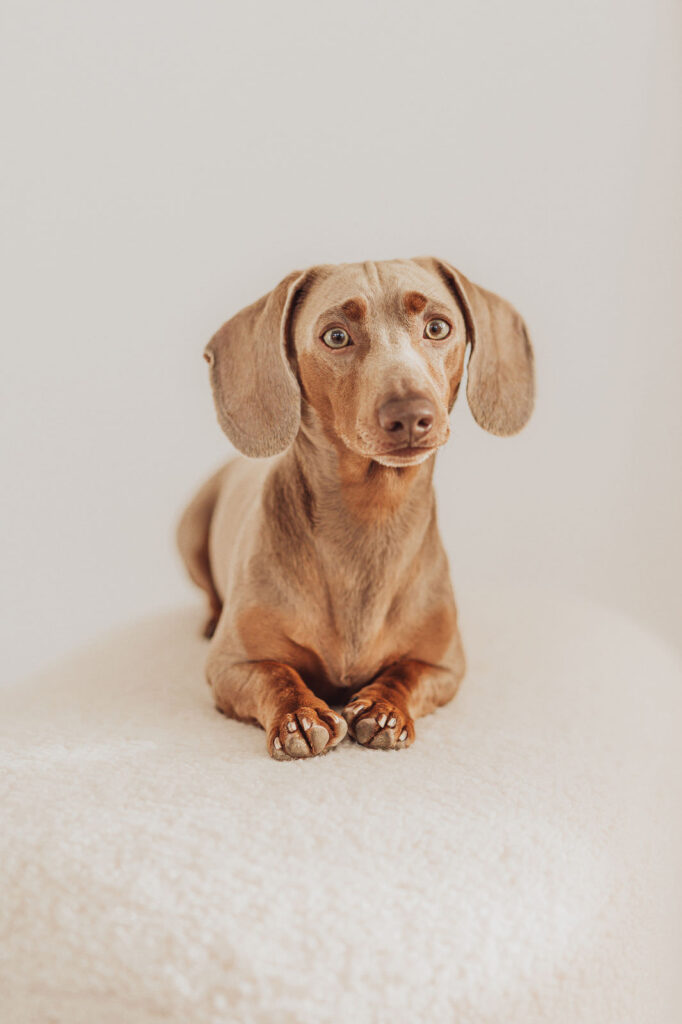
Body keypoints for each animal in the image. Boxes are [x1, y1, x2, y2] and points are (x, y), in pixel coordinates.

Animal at [176, 258, 532, 761]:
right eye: (336, 336)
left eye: (438, 327)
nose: (411, 414)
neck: (370, 516)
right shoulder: (232, 665)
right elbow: (277, 675)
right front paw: (299, 716)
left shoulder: (444, 666)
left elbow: (406, 674)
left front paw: (384, 709)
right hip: (189, 531)